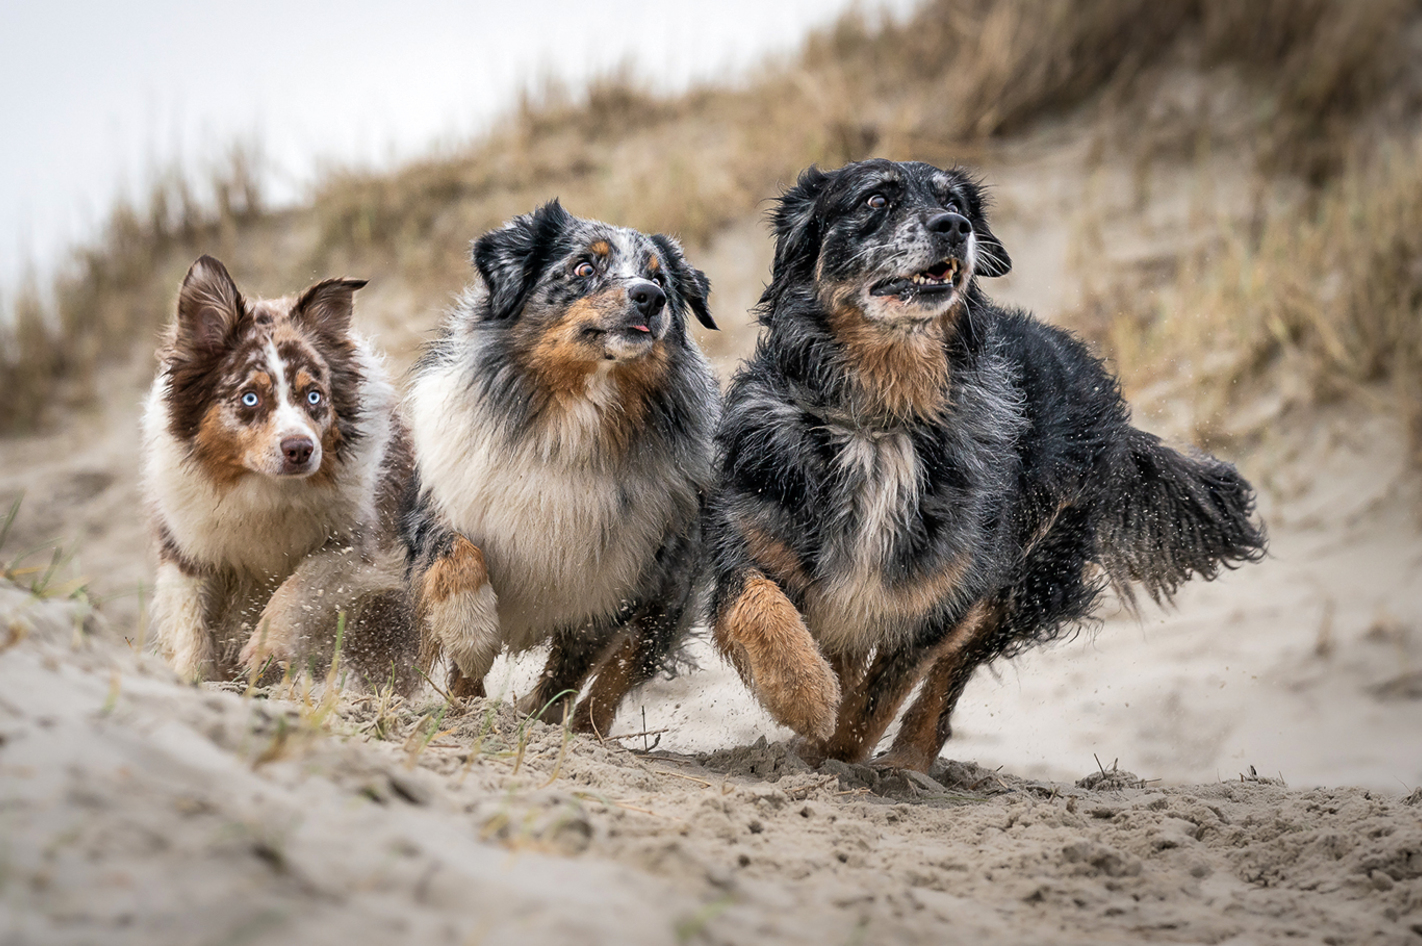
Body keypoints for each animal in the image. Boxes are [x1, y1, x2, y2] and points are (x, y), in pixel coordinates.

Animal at [142, 254, 415, 691]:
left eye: (314, 395)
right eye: (250, 397)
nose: (300, 449)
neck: (266, 491)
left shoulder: (358, 539)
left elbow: (302, 585)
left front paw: (265, 654)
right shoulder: (188, 545)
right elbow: (189, 620)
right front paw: (194, 678)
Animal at [401, 197, 716, 728]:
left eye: (661, 278)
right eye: (584, 267)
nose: (650, 297)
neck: (571, 423)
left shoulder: (639, 570)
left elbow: (596, 662)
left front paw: (557, 723)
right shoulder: (439, 509)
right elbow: (459, 559)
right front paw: (471, 655)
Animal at [711, 158, 1268, 773]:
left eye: (955, 202)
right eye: (876, 200)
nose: (954, 227)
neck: (881, 418)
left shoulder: (944, 596)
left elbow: (875, 702)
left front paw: (832, 747)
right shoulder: (753, 538)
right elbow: (758, 609)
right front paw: (805, 697)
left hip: (1028, 581)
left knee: (949, 678)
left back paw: (908, 762)